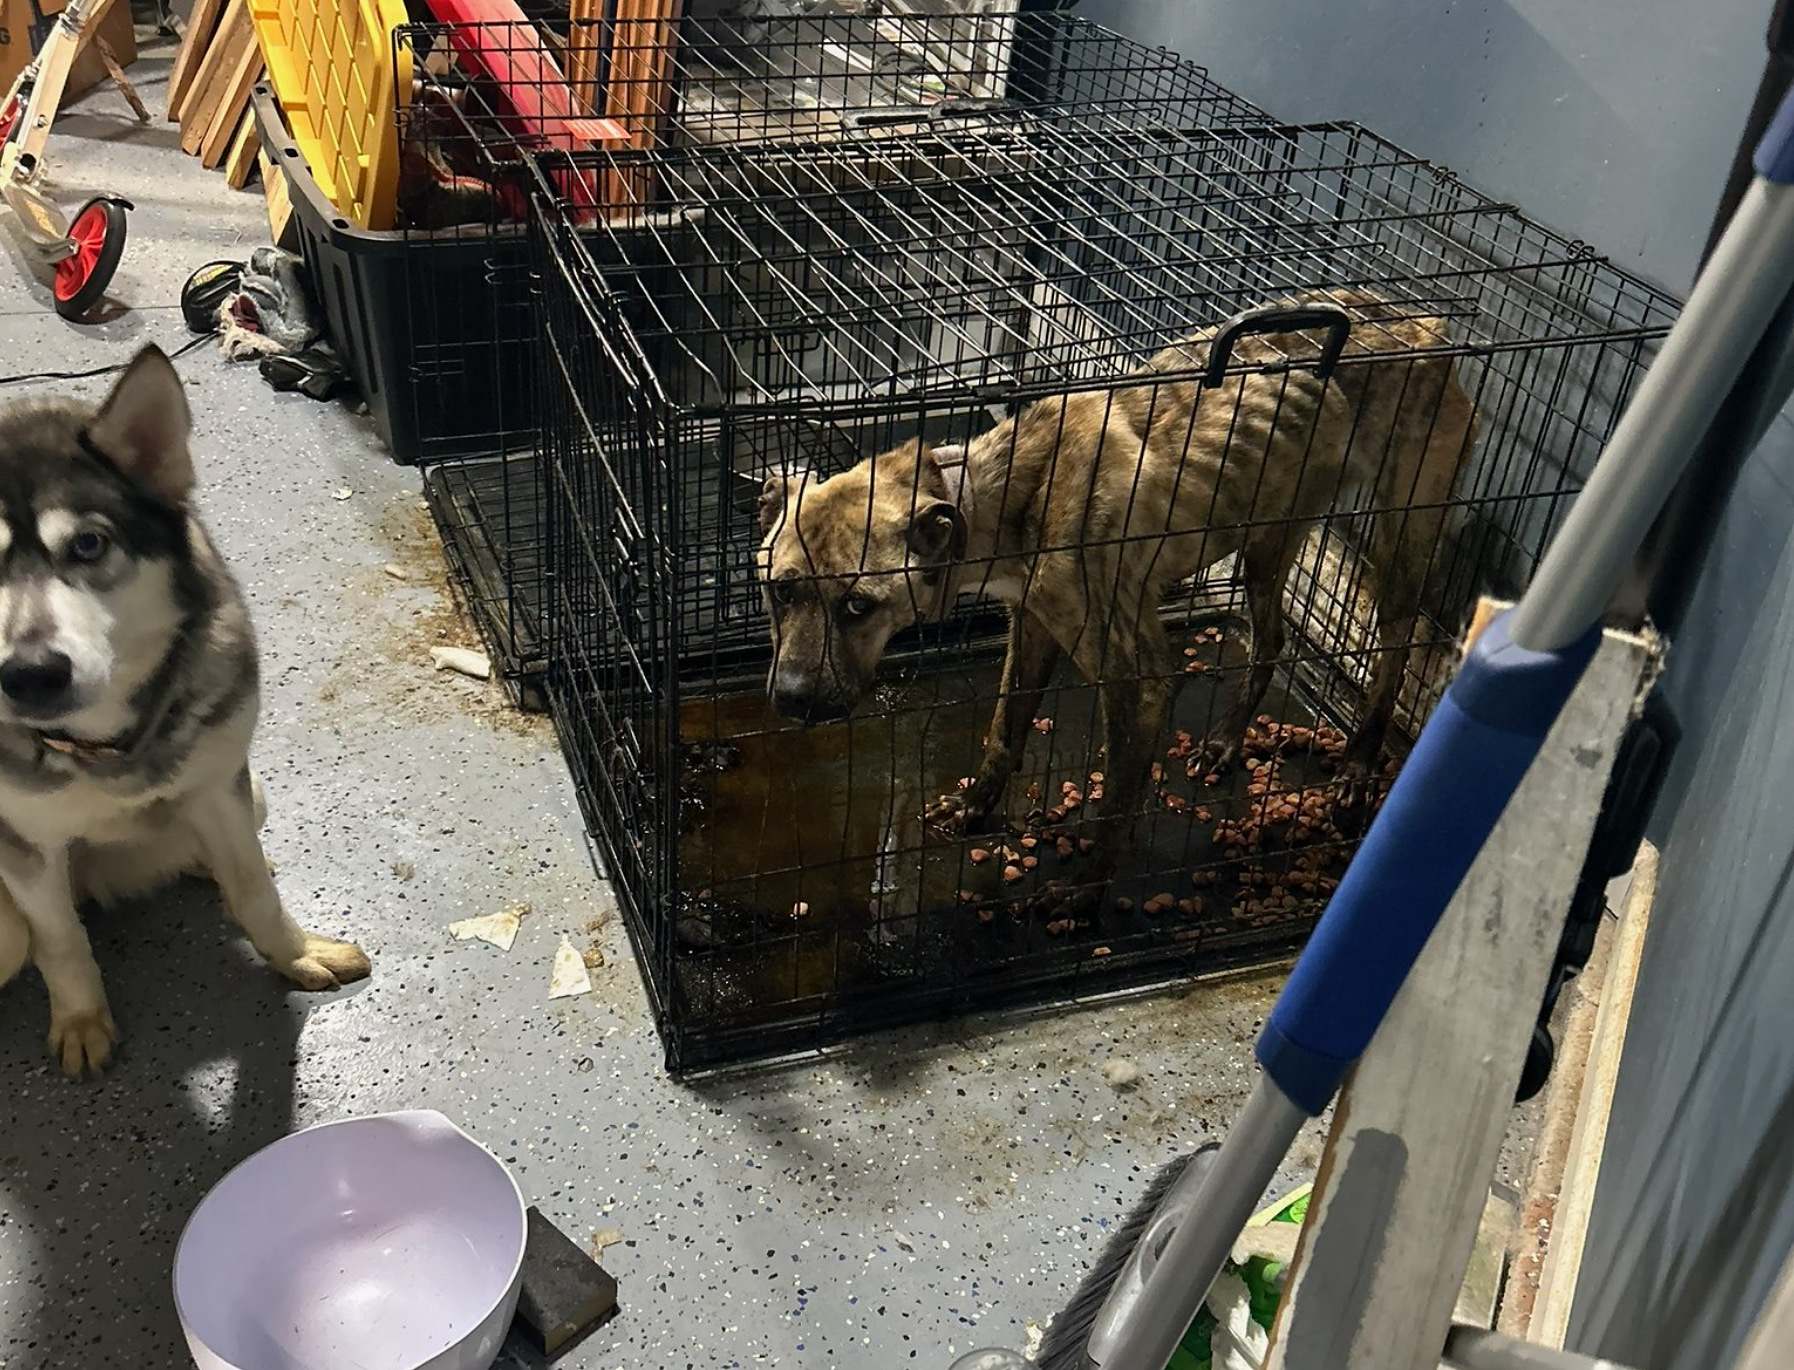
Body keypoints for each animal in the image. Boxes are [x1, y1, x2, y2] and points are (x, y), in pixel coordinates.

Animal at [0, 347, 370, 1077]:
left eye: (89, 545)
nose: (28, 676)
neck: (109, 748)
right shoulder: (25, 850)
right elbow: (61, 943)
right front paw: (81, 1019)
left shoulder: (219, 787)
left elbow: (254, 888)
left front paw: (295, 954)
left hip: (252, 789)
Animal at [756, 289, 1477, 872]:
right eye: (781, 589)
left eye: (858, 605)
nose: (790, 699)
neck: (996, 495)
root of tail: (1419, 321)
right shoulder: (1034, 624)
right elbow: (1003, 732)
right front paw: (974, 809)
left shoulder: (1139, 674)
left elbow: (1118, 805)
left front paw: (1082, 898)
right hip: (1270, 538)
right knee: (1269, 640)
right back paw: (1224, 742)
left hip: (1401, 536)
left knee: (1396, 648)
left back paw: (1357, 767)